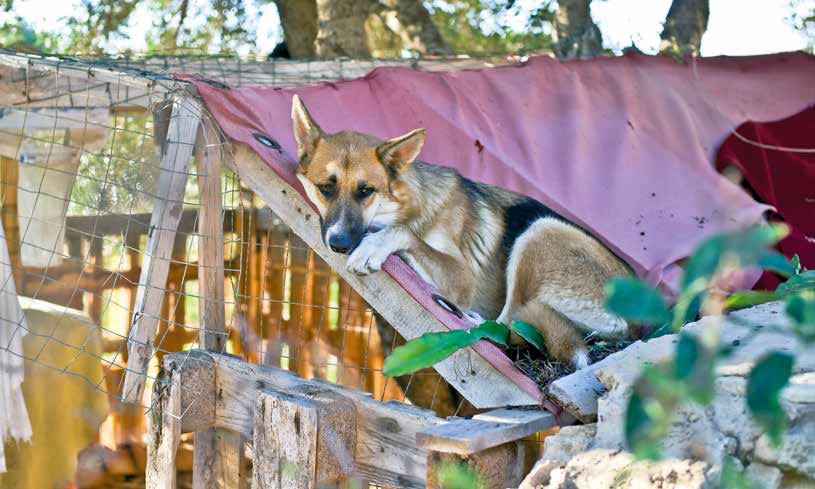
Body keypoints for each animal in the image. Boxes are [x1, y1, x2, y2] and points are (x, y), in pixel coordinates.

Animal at [290, 94, 636, 366]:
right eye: (325, 188)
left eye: (365, 191)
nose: (339, 243)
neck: (409, 206)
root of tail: (636, 325)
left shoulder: (461, 279)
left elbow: (403, 233)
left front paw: (375, 244)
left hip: (541, 231)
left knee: (505, 326)